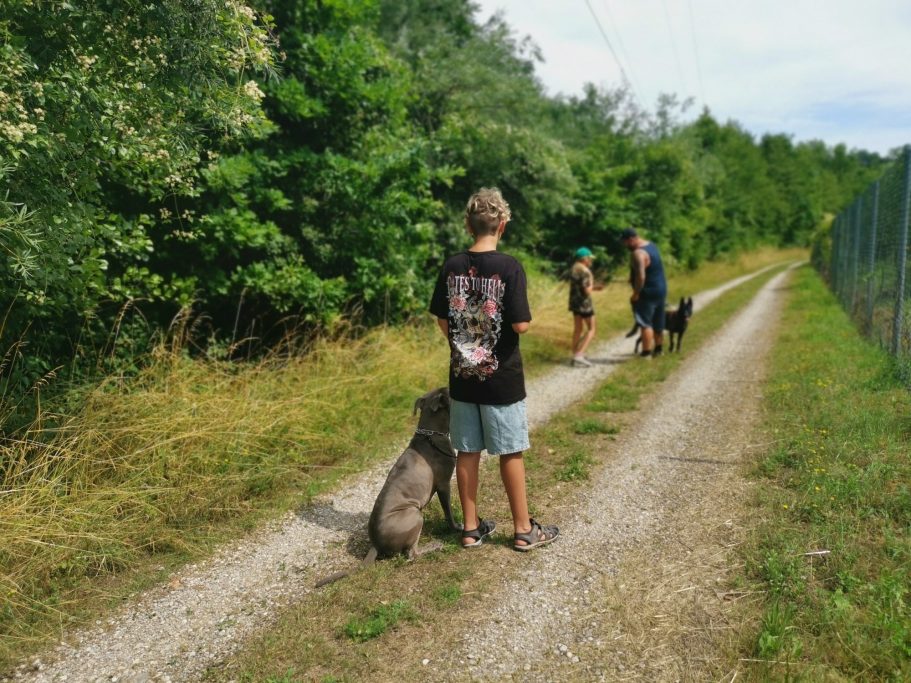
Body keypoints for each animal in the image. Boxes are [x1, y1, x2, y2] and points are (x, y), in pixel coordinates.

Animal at [316, 384, 460, 588]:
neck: (431, 435)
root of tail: (376, 544)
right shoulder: (444, 484)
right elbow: (448, 513)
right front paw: (456, 528)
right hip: (414, 514)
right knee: (411, 555)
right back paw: (434, 546)